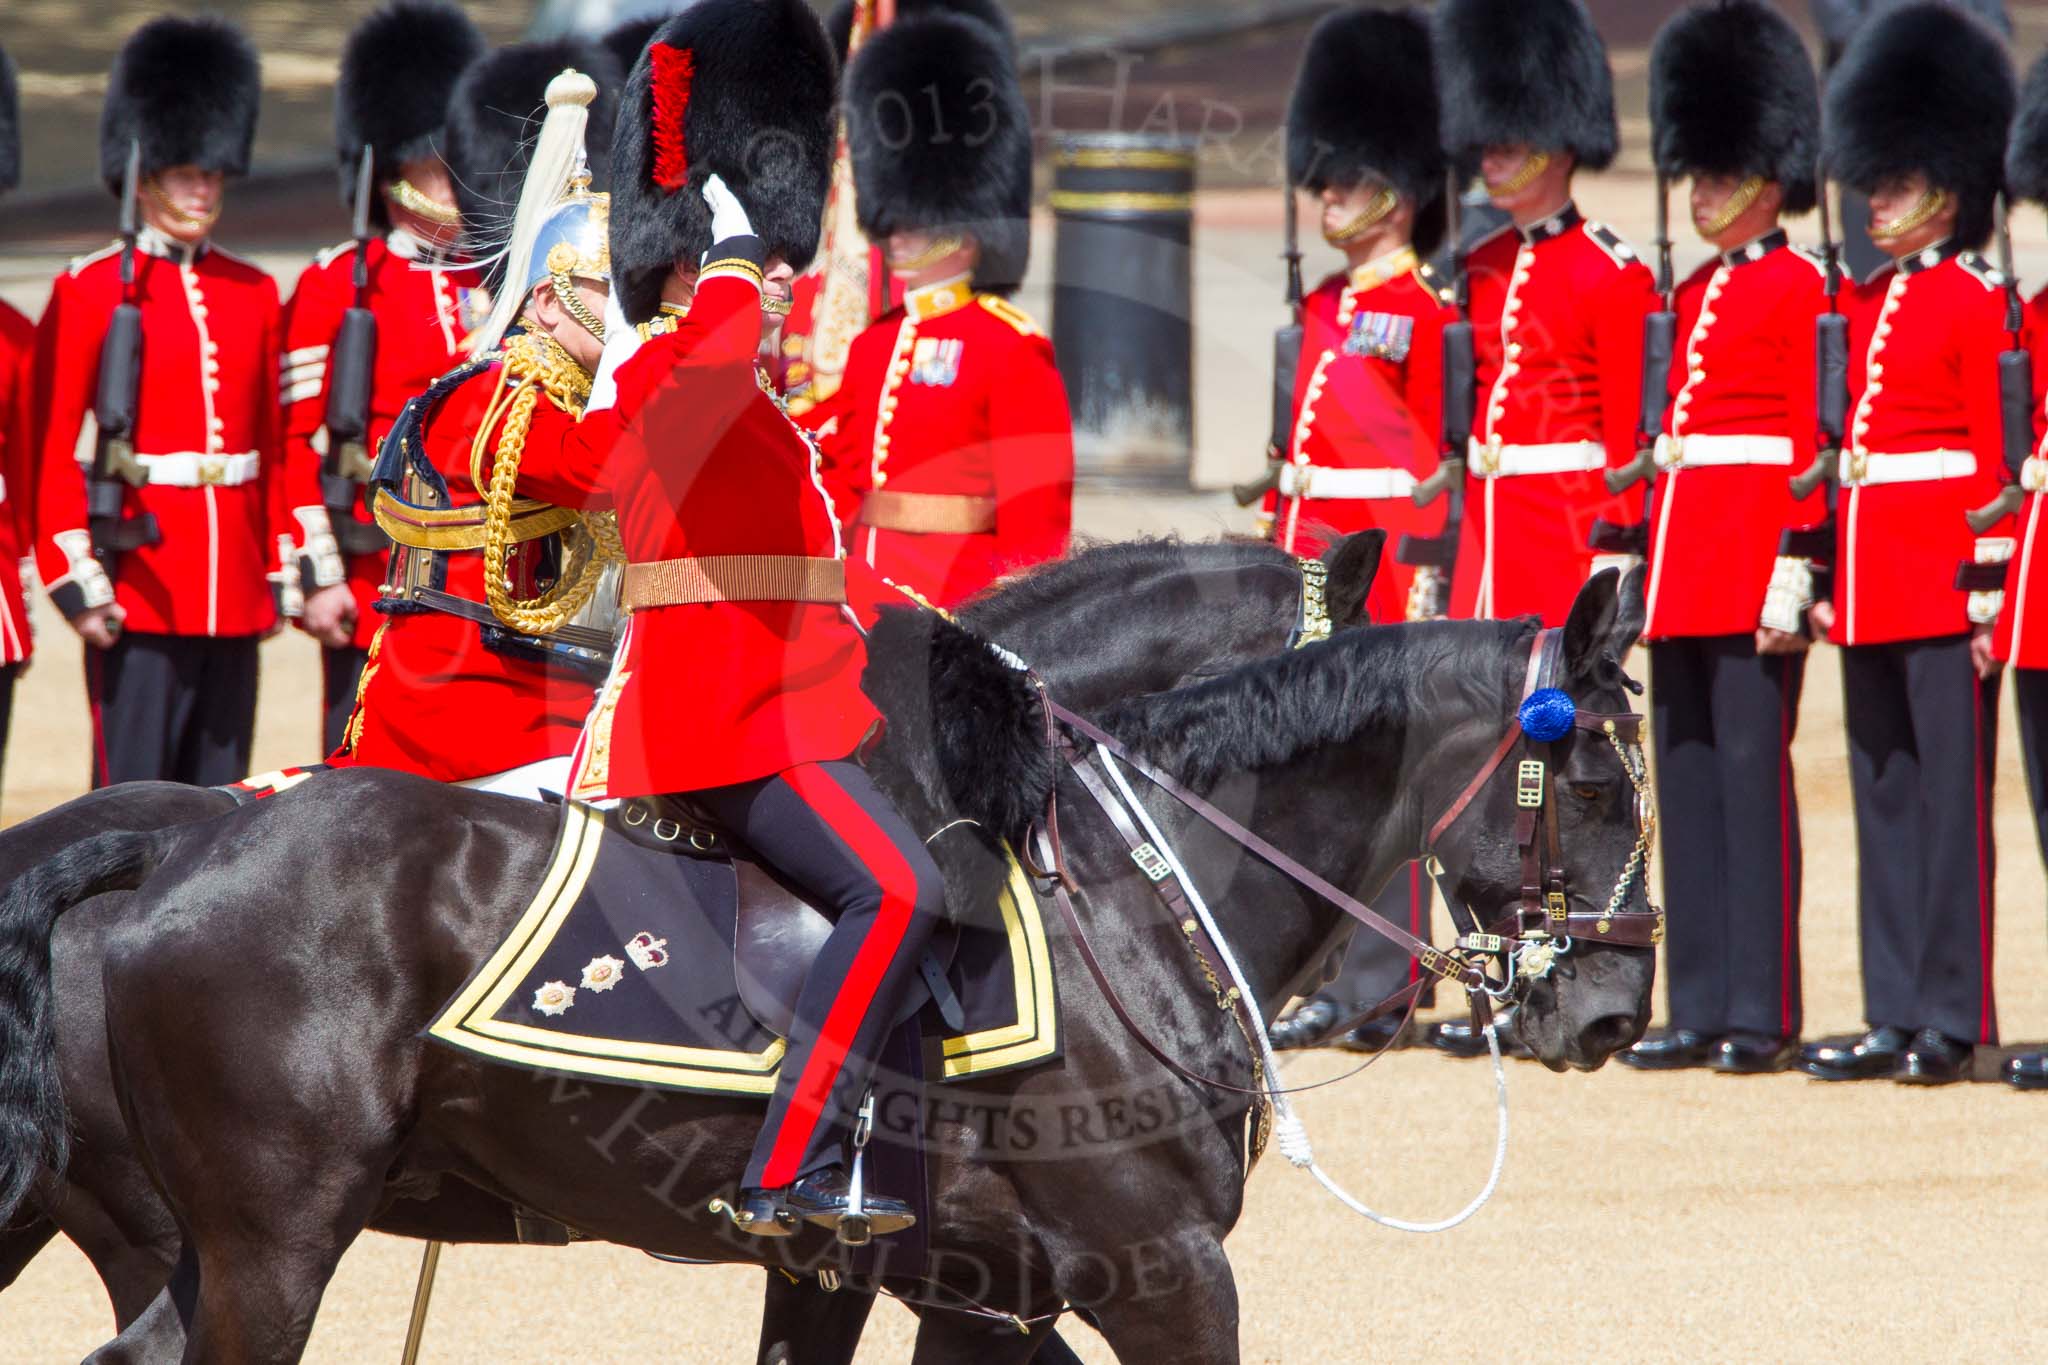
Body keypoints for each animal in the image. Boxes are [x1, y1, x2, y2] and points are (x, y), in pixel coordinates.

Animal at [0, 573, 1646, 1358]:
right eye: (1599, 783)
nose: (1617, 1008)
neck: (1132, 900)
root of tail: (181, 846)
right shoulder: (1162, 1273)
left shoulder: (956, 1294)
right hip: (269, 1244)